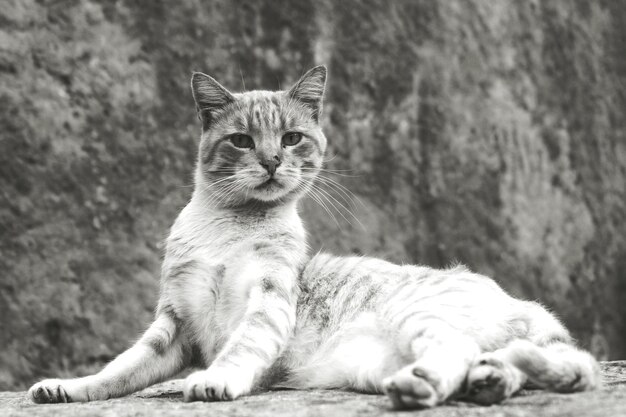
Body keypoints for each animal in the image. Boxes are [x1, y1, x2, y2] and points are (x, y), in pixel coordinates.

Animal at [29, 66, 600, 410]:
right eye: (242, 141)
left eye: (291, 138)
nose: (270, 160)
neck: (227, 227)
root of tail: (528, 307)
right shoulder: (172, 327)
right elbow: (116, 372)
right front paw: (65, 388)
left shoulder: (266, 301)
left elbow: (238, 349)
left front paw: (214, 381)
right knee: (513, 367)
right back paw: (482, 383)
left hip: (418, 318)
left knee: (461, 352)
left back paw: (421, 387)